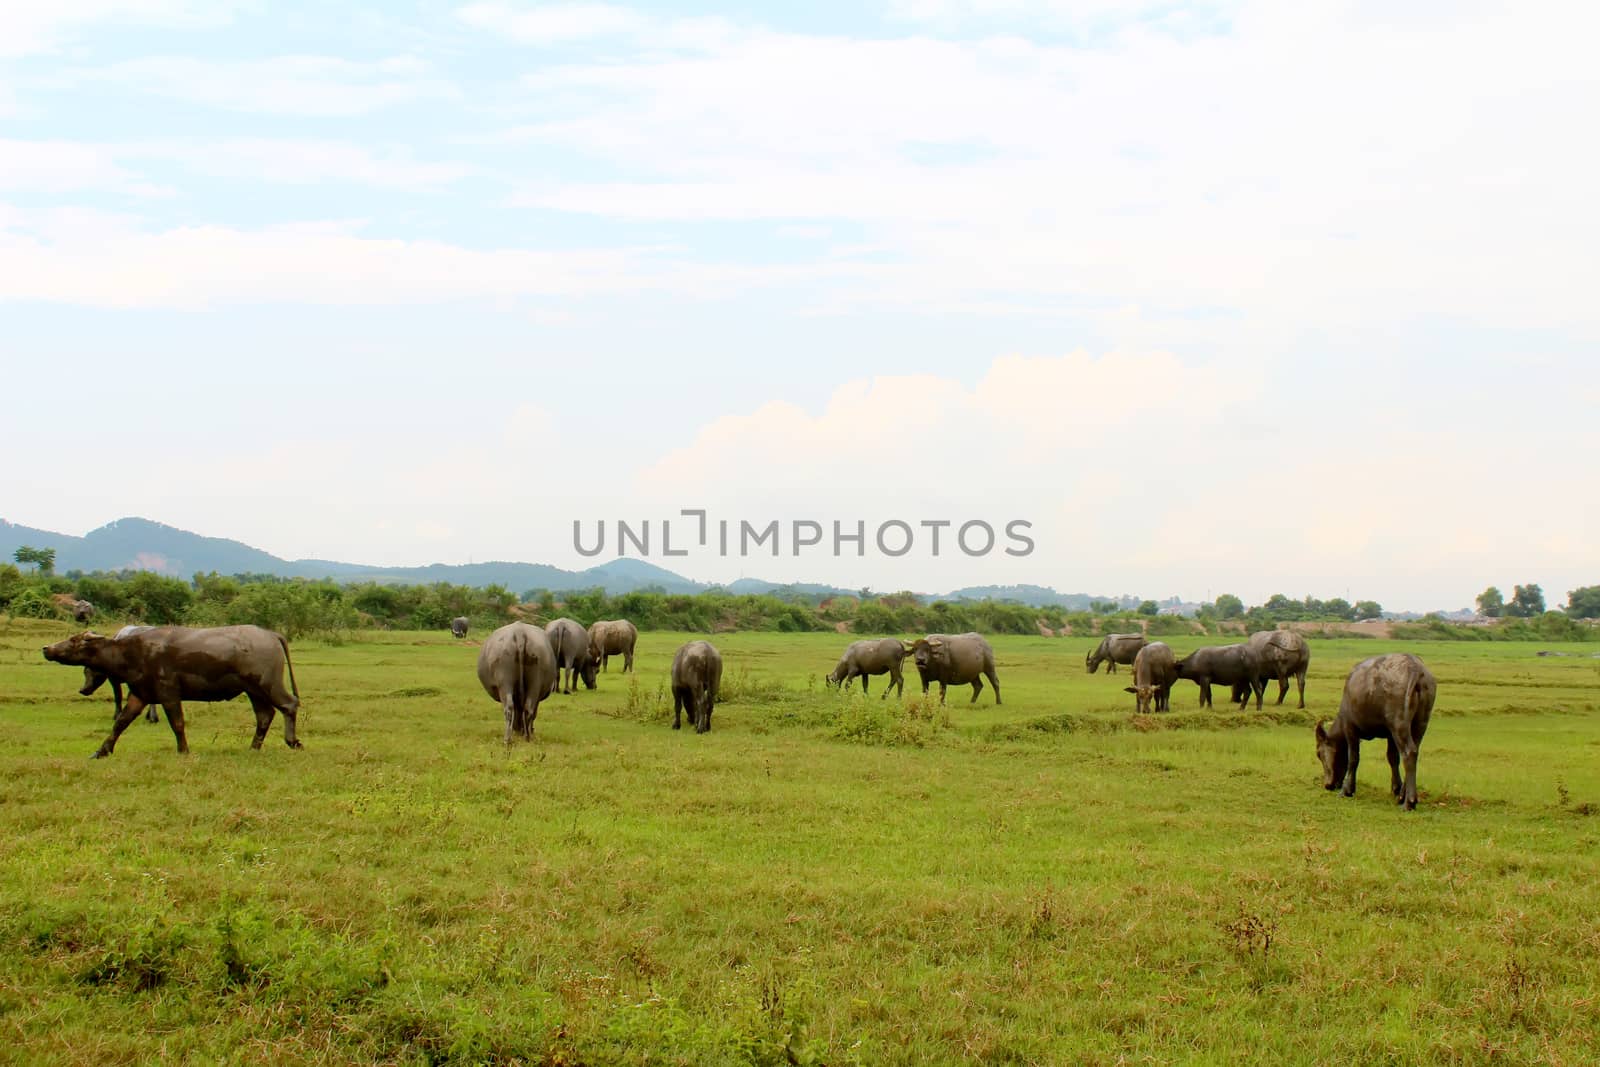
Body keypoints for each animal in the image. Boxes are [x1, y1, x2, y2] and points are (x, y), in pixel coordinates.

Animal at [43, 627, 302, 758]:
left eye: (73, 640)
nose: (47, 648)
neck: (133, 652)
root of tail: (271, 635)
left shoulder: (168, 694)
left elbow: (177, 724)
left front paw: (183, 750)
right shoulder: (140, 694)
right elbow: (121, 723)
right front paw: (101, 750)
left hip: (267, 684)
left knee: (289, 704)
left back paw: (292, 741)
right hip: (252, 690)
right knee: (265, 715)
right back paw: (253, 747)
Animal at [1312, 652, 1440, 809]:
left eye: (1319, 754)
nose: (1328, 785)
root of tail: (1415, 668)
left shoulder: (1350, 728)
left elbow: (1353, 758)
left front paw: (1347, 790)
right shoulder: (1390, 735)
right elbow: (1392, 758)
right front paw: (1396, 789)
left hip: (1399, 724)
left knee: (1409, 752)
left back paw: (1409, 802)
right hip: (1419, 724)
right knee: (1413, 751)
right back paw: (1403, 796)